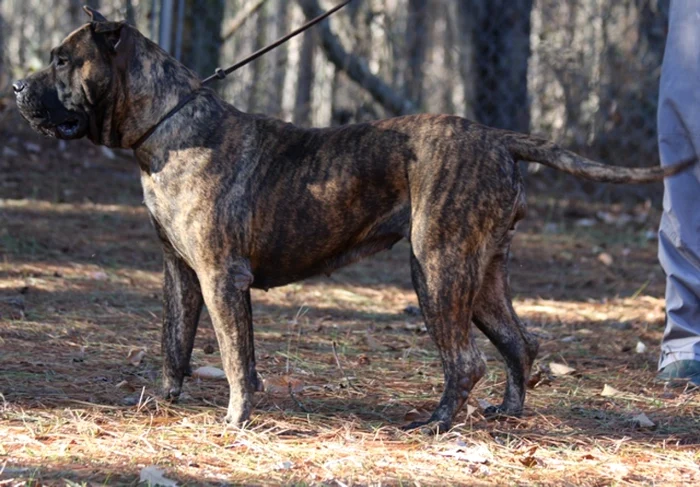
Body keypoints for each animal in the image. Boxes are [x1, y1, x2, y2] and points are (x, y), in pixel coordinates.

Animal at [13, 9, 692, 432]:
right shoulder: (180, 273)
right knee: (519, 344)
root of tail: (497, 138)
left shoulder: (221, 277)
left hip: (437, 267)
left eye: (62, 61)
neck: (166, 127)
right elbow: (174, 345)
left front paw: (235, 418)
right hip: (482, 275)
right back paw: (506, 415)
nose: (18, 87)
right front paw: (161, 402)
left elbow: (235, 356)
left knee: (466, 360)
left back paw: (435, 425)